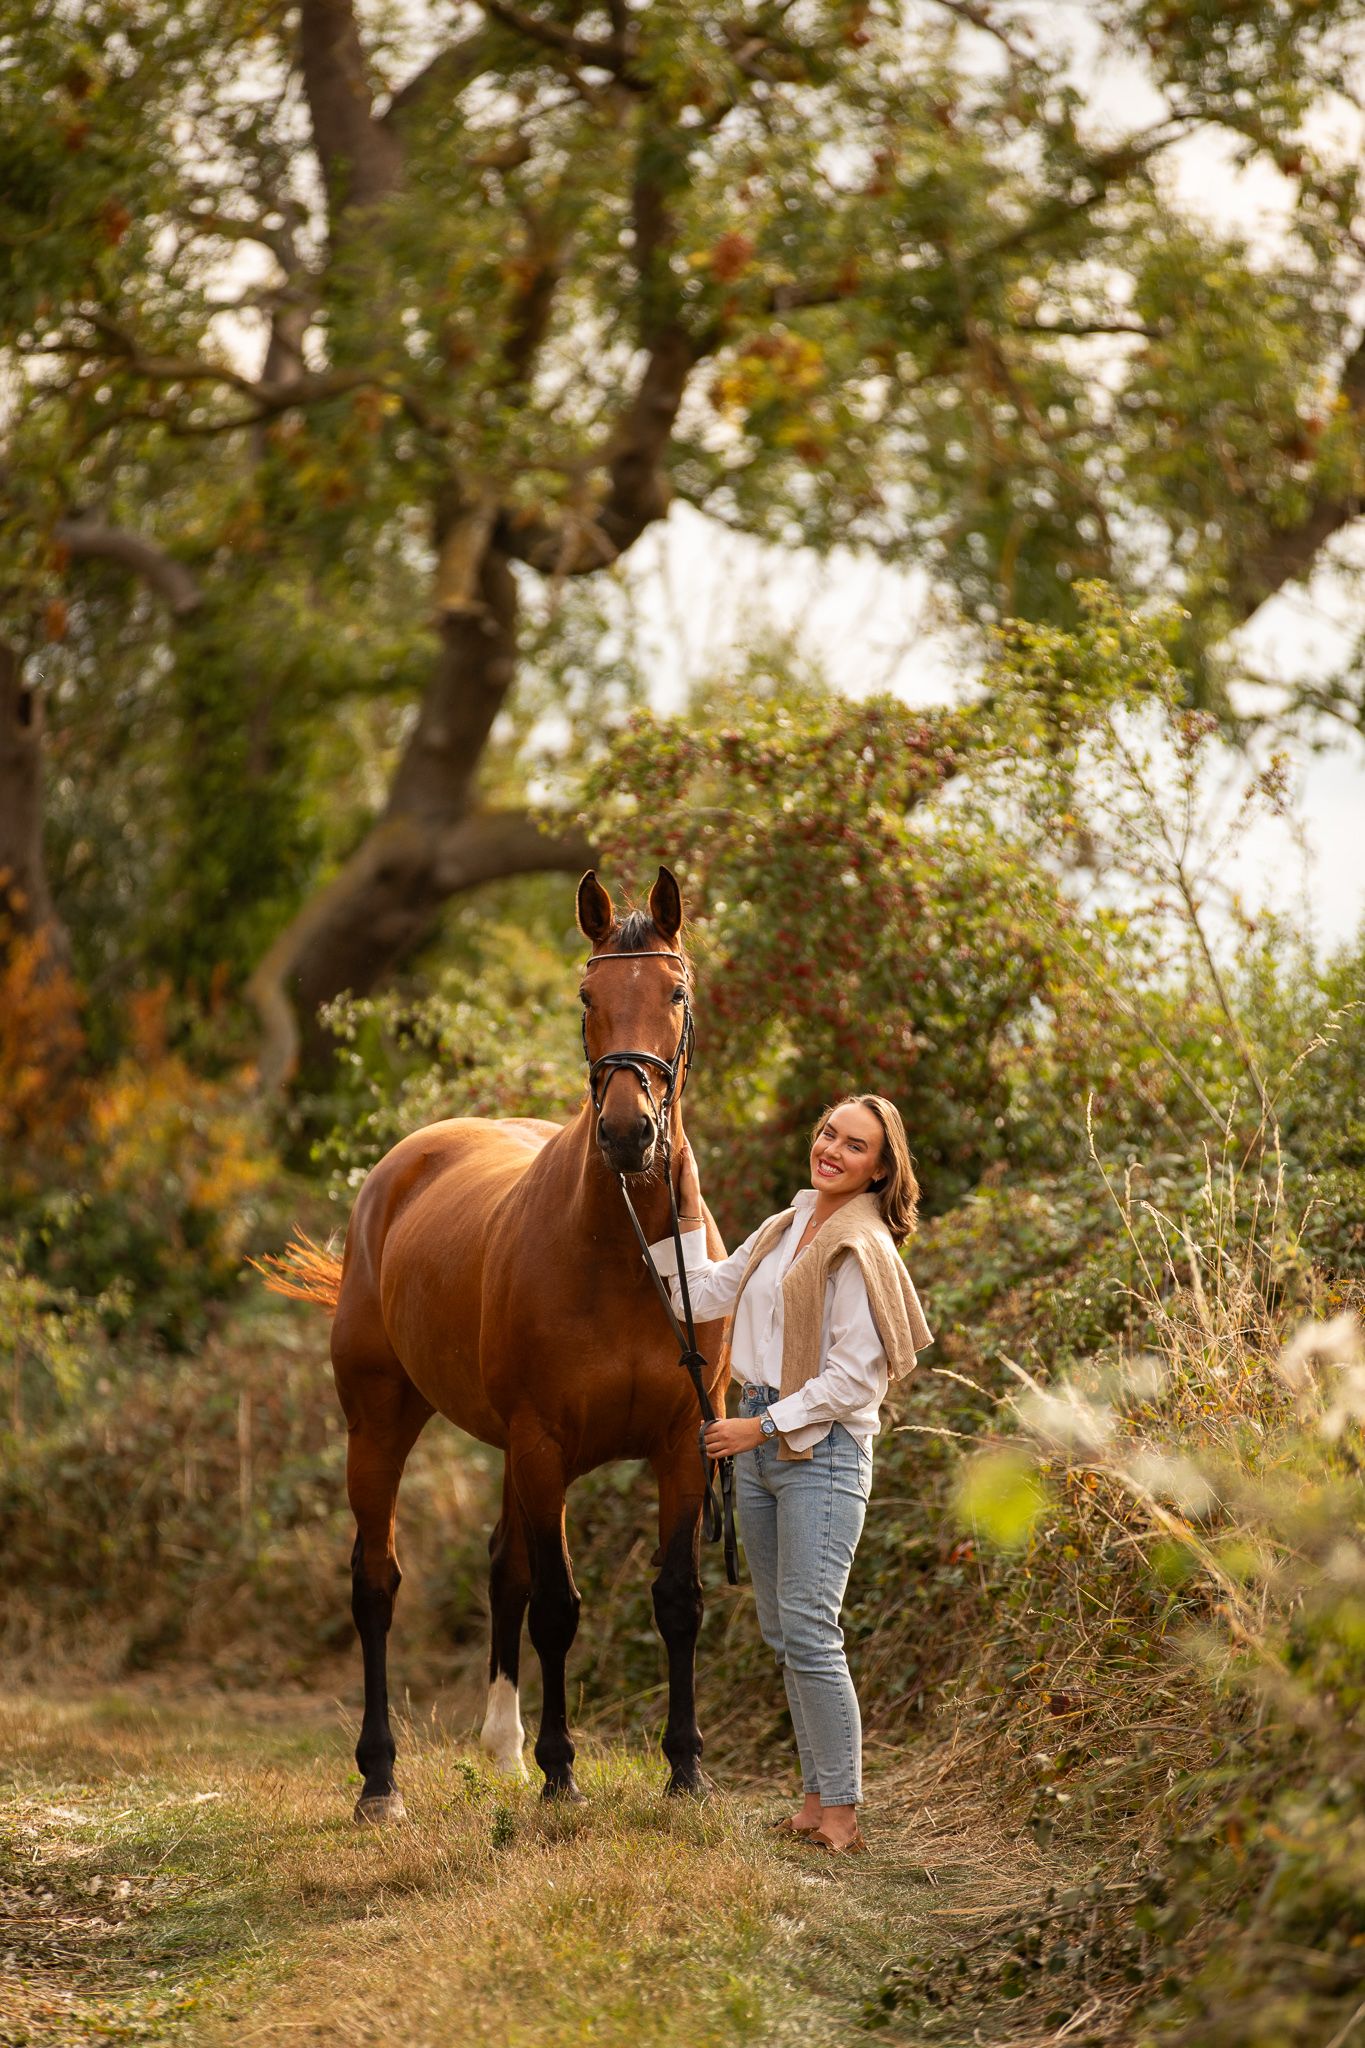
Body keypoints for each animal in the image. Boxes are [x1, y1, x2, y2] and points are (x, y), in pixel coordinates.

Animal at [263, 867, 728, 1816]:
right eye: (587, 997)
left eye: (676, 992)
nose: (628, 1134)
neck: (624, 1250)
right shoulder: (543, 1444)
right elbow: (557, 1606)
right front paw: (561, 1774)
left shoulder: (680, 1445)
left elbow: (676, 1598)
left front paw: (685, 1769)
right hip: (380, 1425)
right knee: (376, 1583)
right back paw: (381, 1781)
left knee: (499, 1567)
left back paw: (502, 1751)